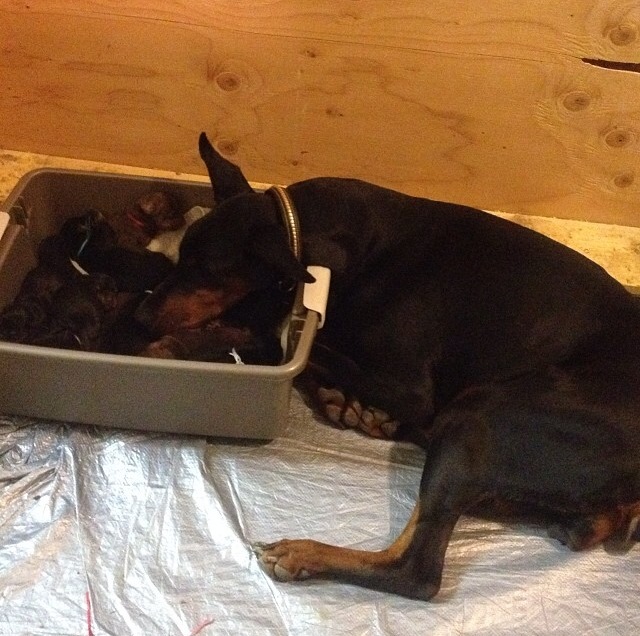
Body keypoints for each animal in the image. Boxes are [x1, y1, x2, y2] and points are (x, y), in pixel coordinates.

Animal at [135, 133, 640, 600]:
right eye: (182, 255)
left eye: (207, 269)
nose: (142, 316)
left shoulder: (410, 386)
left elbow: (294, 344)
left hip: (478, 412)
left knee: (416, 571)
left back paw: (307, 551)